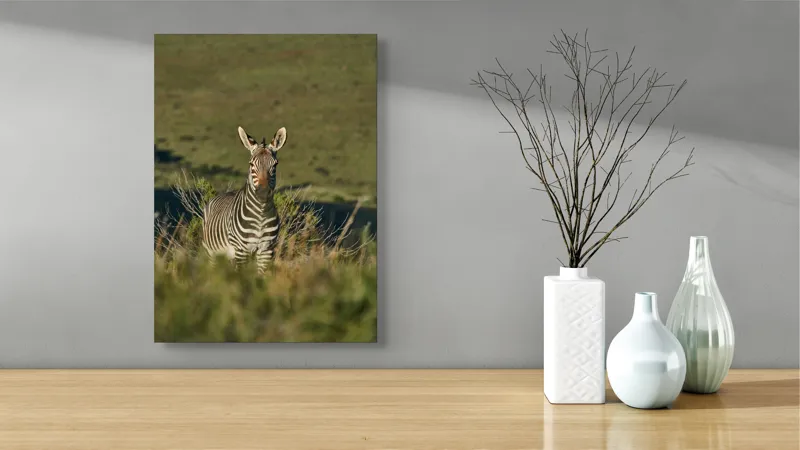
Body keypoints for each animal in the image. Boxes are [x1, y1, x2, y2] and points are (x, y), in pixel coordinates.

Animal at [202, 125, 287, 272]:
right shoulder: (242, 250)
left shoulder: (266, 249)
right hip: (212, 252)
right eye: (251, 164)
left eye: (275, 165)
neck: (261, 214)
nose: (263, 193)